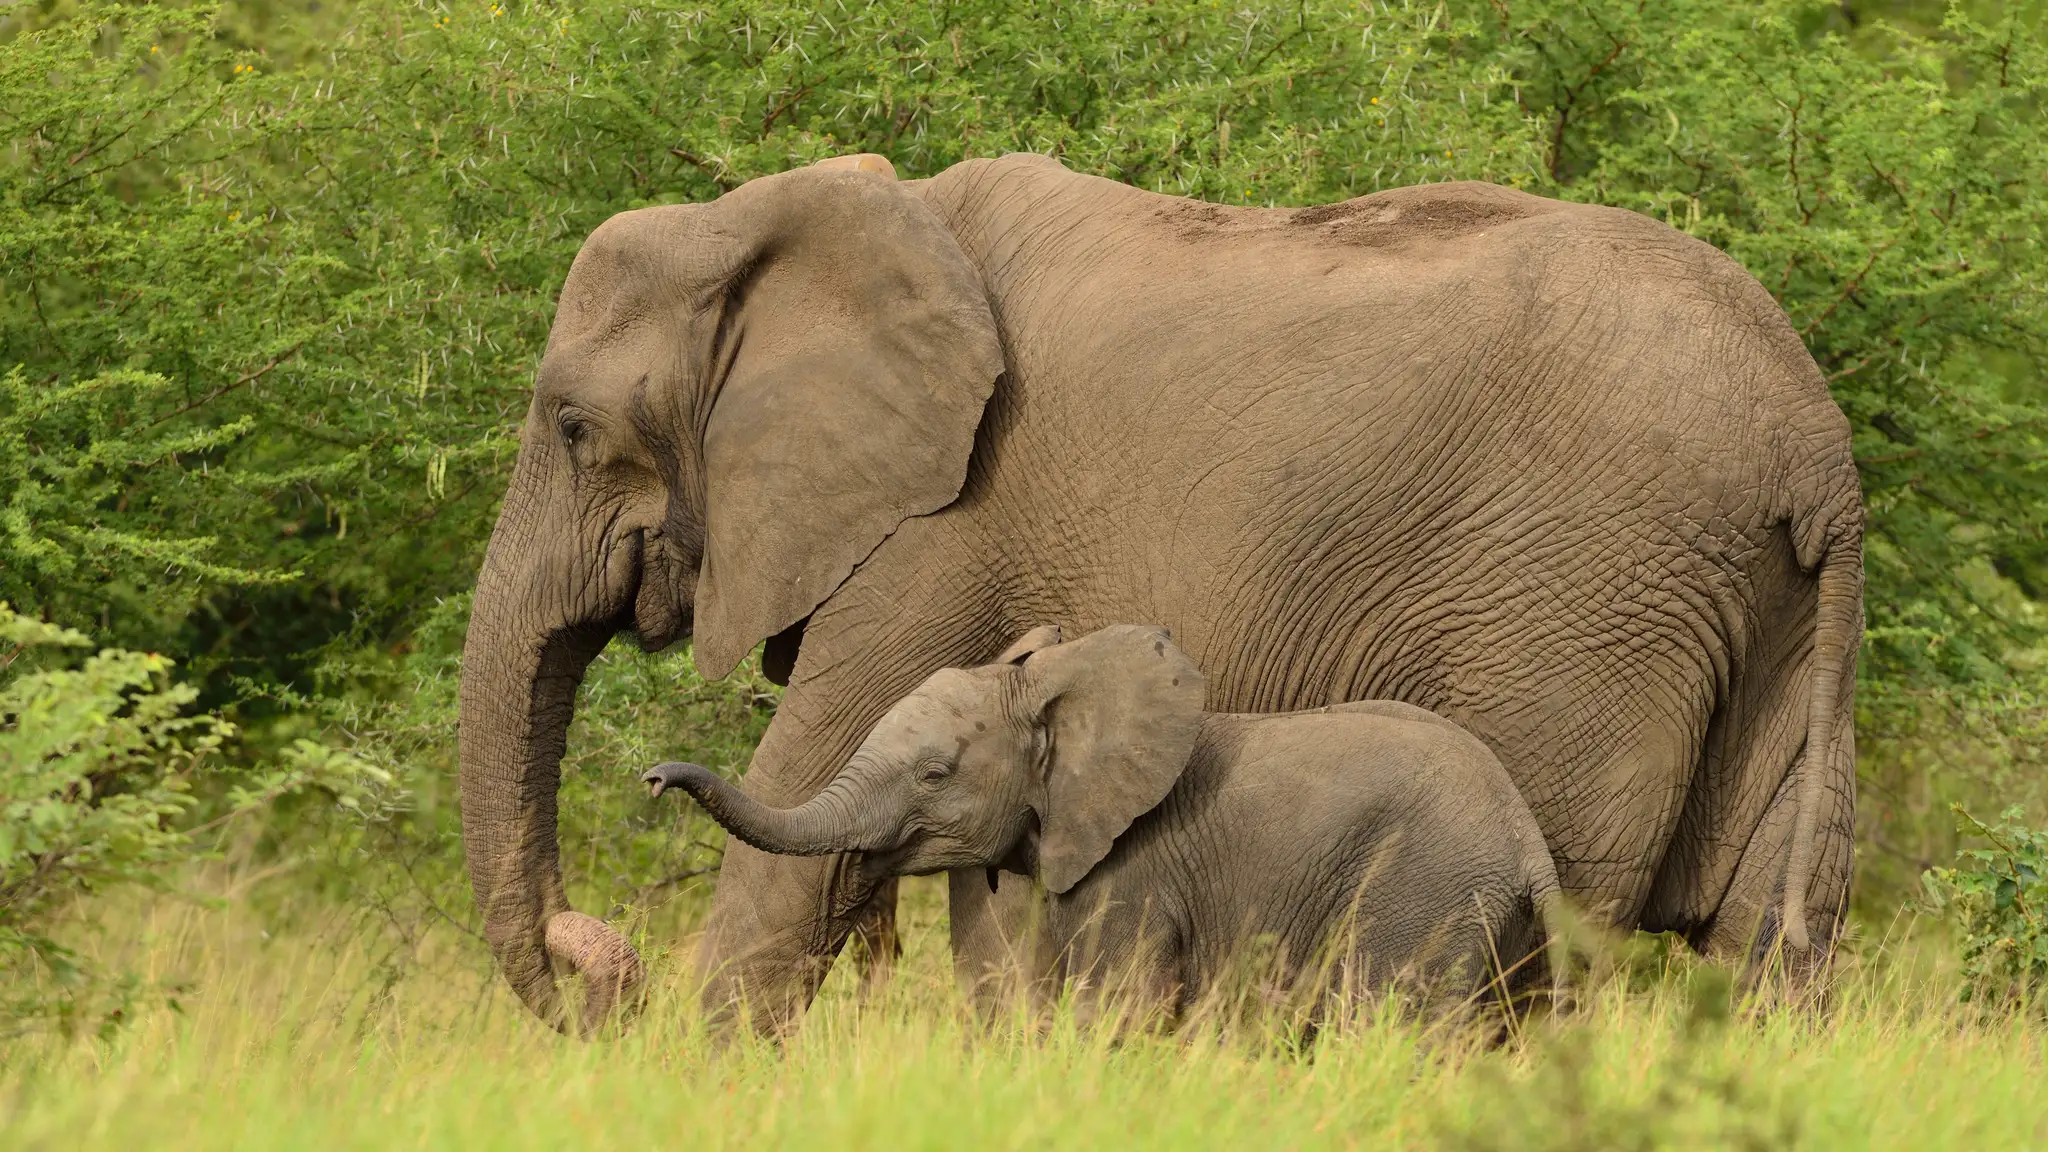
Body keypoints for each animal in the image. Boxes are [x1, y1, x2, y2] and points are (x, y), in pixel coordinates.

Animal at [643, 624, 1568, 1024]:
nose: (653, 778)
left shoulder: (1137, 870)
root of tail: (1526, 842)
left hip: (1424, 896)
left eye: (936, 775)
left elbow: (1114, 1006)